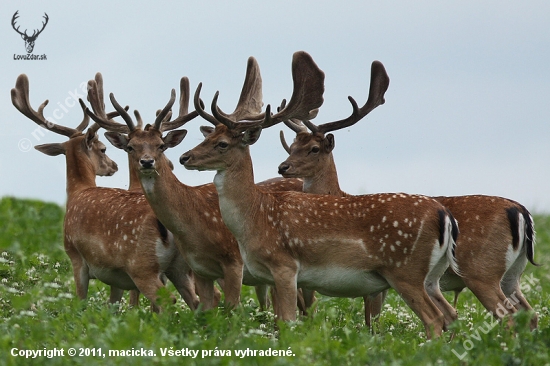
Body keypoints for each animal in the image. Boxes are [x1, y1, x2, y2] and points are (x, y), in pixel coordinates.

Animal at [11, 74, 198, 312]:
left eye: (103, 148)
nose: (113, 166)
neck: (78, 191)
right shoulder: (115, 276)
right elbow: (113, 306)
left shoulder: (75, 256)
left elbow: (81, 300)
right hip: (181, 266)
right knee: (199, 299)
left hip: (142, 264)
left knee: (168, 299)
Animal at [180, 50, 462, 338]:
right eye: (206, 137)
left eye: (222, 144)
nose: (184, 157)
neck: (255, 217)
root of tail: (445, 215)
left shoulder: (285, 266)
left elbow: (289, 321)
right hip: (432, 276)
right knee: (449, 313)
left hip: (405, 270)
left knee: (433, 317)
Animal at [280, 60, 540, 328]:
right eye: (292, 146)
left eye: (314, 148)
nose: (283, 167)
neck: (340, 194)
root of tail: (522, 212)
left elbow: (371, 322)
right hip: (513, 274)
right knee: (529, 313)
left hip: (482, 270)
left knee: (508, 315)